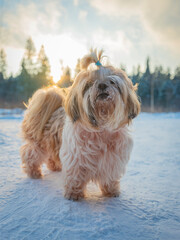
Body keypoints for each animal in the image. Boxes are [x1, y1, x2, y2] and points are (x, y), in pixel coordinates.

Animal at [20, 49, 141, 201]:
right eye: (89, 83)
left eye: (112, 81)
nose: (102, 85)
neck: (101, 128)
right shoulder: (76, 158)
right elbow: (75, 177)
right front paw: (74, 194)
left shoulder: (112, 160)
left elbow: (110, 178)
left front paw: (111, 191)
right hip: (39, 143)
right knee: (30, 154)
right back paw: (34, 172)